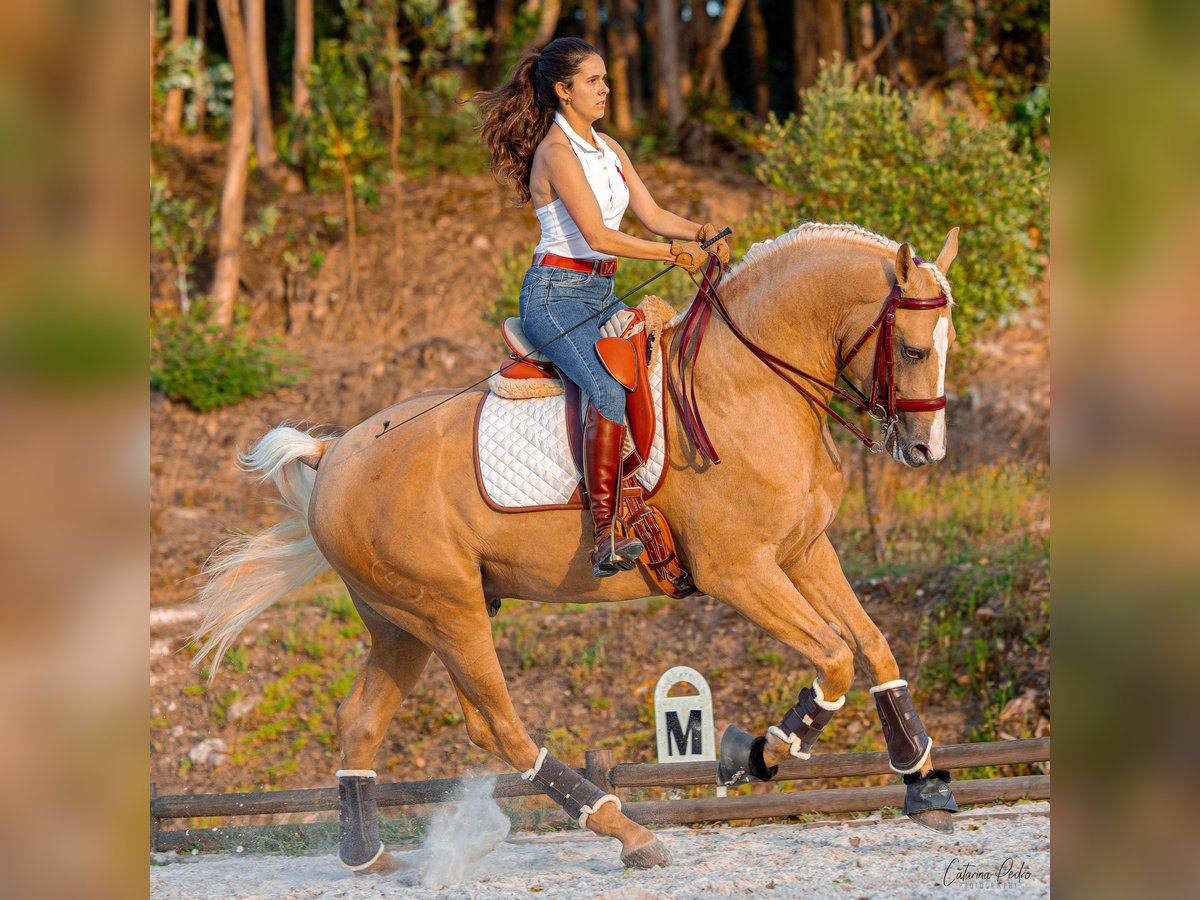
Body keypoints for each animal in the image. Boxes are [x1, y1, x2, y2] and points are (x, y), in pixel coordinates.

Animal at [192, 224, 960, 873]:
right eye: (914, 349)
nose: (927, 450)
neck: (750, 385)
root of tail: (335, 455)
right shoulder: (740, 572)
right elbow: (833, 657)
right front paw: (754, 756)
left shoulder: (805, 552)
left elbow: (873, 646)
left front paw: (922, 781)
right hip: (447, 612)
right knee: (498, 726)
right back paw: (624, 830)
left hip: (401, 624)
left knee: (361, 722)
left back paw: (366, 856)